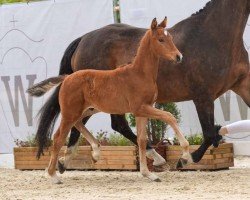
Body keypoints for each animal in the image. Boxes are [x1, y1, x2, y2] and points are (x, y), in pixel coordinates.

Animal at [27, 18, 191, 184]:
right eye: (161, 39)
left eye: (171, 38)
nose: (179, 56)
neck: (139, 73)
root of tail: (67, 77)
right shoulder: (140, 108)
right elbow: (169, 116)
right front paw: (184, 157)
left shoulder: (143, 111)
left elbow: (142, 140)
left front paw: (149, 174)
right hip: (70, 113)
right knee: (58, 137)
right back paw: (53, 175)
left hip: (88, 109)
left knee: (77, 124)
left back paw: (94, 151)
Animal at [34, 0, 249, 172]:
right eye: (161, 39)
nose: (179, 57)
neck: (213, 35)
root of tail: (83, 39)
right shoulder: (203, 95)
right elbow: (208, 133)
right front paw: (186, 158)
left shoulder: (242, 85)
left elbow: (214, 131)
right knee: (90, 123)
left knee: (103, 124)